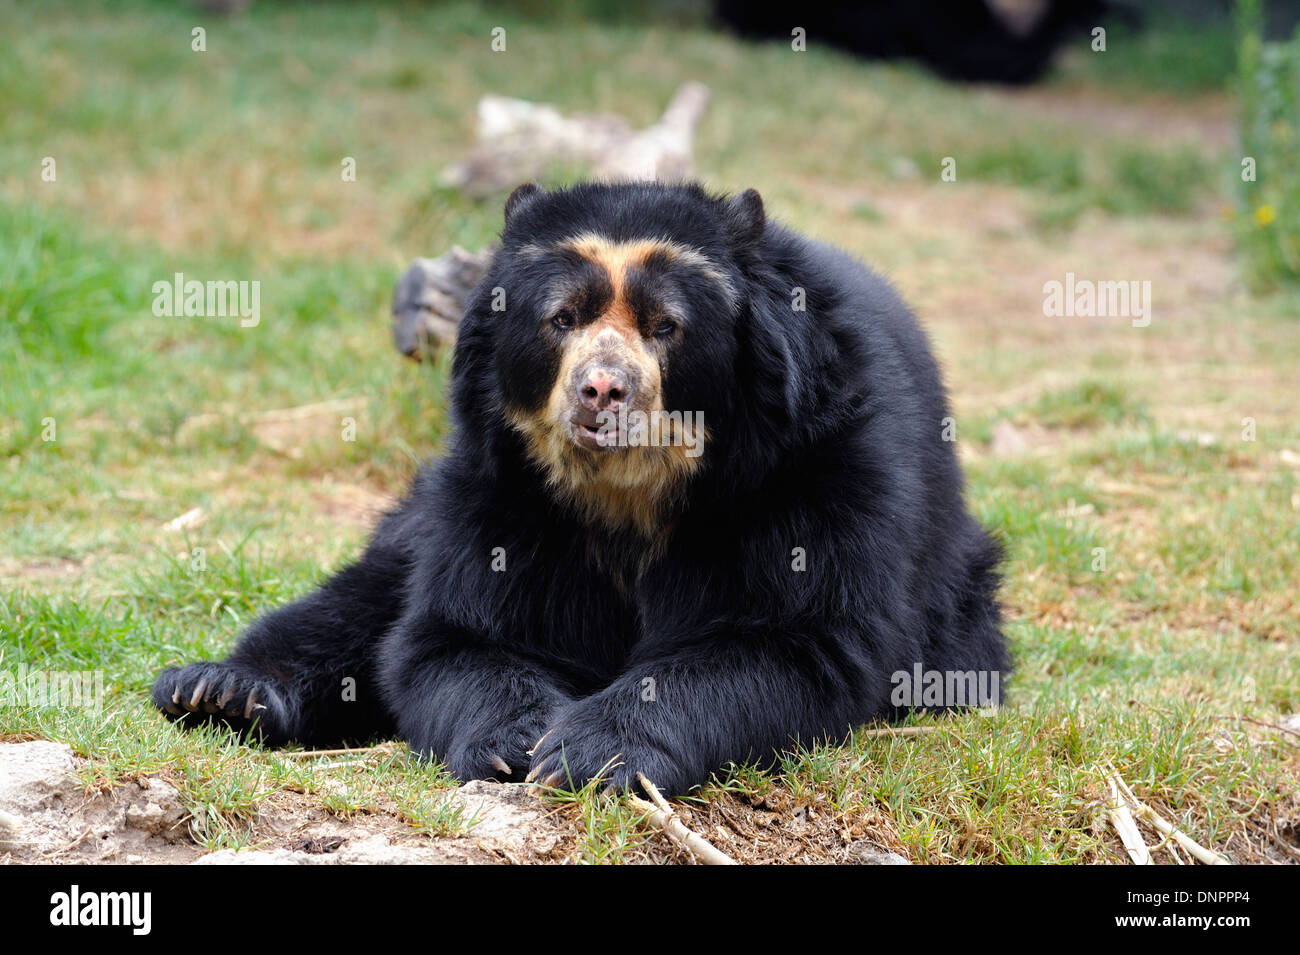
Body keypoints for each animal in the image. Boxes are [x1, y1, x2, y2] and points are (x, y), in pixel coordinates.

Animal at [152, 181, 1009, 795]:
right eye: (561, 318)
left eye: (666, 326)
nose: (601, 391)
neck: (632, 488)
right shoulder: (504, 489)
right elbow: (457, 634)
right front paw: (515, 743)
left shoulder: (815, 474)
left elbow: (791, 637)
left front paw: (590, 750)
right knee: (364, 593)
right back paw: (219, 688)